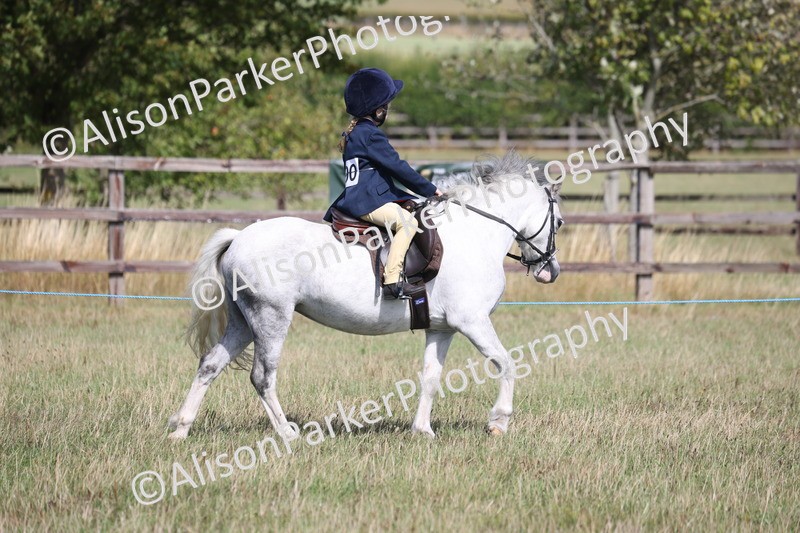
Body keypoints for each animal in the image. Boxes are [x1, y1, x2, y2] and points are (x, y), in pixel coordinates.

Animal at [168, 151, 563, 440]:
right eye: (558, 223)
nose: (550, 272)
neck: (474, 233)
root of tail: (239, 237)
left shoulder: (442, 328)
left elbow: (431, 378)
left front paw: (423, 431)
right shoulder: (473, 322)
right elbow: (506, 363)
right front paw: (498, 422)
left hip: (243, 321)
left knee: (210, 365)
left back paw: (180, 429)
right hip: (270, 317)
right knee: (262, 377)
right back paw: (287, 434)